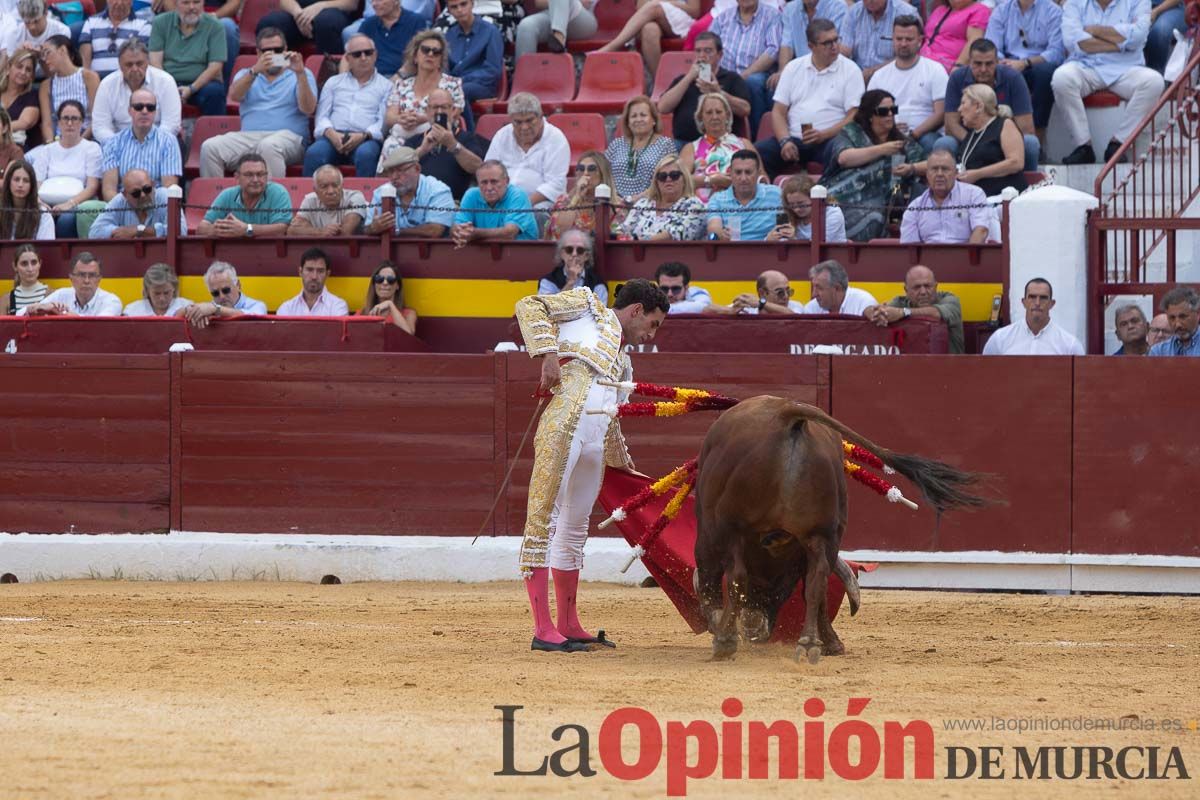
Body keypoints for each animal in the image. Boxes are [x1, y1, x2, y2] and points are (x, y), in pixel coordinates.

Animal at [691, 393, 988, 662]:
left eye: (778, 584)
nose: (754, 629)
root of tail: (787, 413)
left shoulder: (711, 533)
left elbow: (714, 579)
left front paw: (721, 631)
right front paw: (831, 644)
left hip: (731, 527)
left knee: (737, 575)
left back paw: (727, 641)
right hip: (823, 533)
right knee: (818, 579)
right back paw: (810, 643)